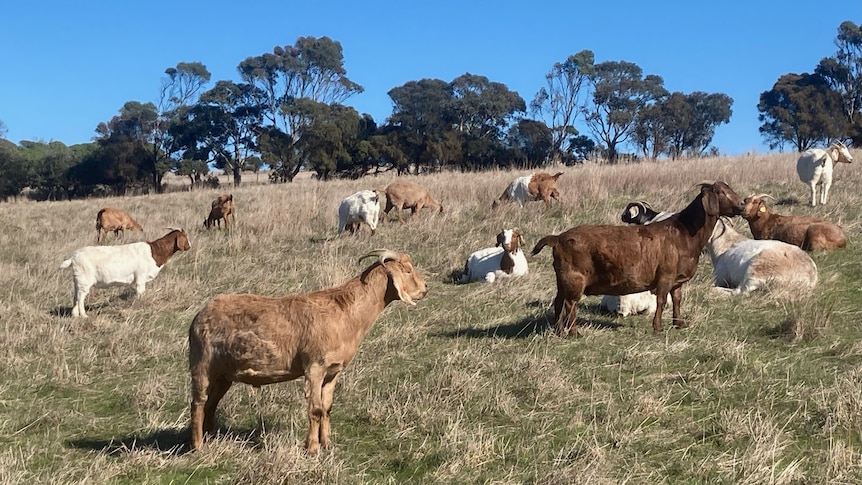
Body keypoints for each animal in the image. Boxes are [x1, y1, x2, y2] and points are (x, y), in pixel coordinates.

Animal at [58, 228, 191, 316]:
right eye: (185, 237)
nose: (189, 246)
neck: (154, 252)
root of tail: (73, 257)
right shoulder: (141, 277)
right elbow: (141, 293)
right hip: (85, 281)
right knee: (80, 297)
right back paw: (84, 315)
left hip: (78, 281)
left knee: (75, 296)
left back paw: (75, 315)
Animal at [191, 250, 430, 454]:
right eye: (408, 270)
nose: (425, 288)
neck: (346, 314)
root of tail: (199, 315)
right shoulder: (314, 367)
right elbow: (315, 409)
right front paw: (313, 448)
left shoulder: (333, 371)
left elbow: (327, 408)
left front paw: (327, 443)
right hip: (201, 363)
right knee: (198, 402)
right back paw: (197, 446)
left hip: (224, 374)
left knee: (211, 402)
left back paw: (210, 436)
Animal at [528, 182, 744, 336]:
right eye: (721, 193)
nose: (742, 205)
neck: (685, 232)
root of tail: (558, 238)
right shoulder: (665, 276)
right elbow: (661, 301)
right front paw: (658, 328)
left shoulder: (677, 280)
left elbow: (677, 300)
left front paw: (679, 323)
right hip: (575, 279)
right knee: (570, 304)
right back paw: (574, 332)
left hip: (562, 279)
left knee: (558, 301)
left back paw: (559, 330)